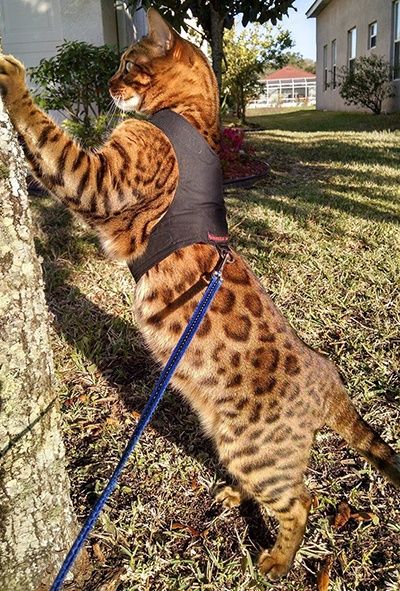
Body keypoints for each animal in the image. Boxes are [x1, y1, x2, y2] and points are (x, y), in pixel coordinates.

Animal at [1, 6, 398, 580]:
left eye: (126, 62)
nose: (107, 84)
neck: (191, 116)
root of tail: (330, 378)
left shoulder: (99, 179)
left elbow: (47, 137)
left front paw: (12, 77)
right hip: (234, 444)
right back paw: (235, 495)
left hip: (255, 451)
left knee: (303, 501)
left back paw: (277, 559)